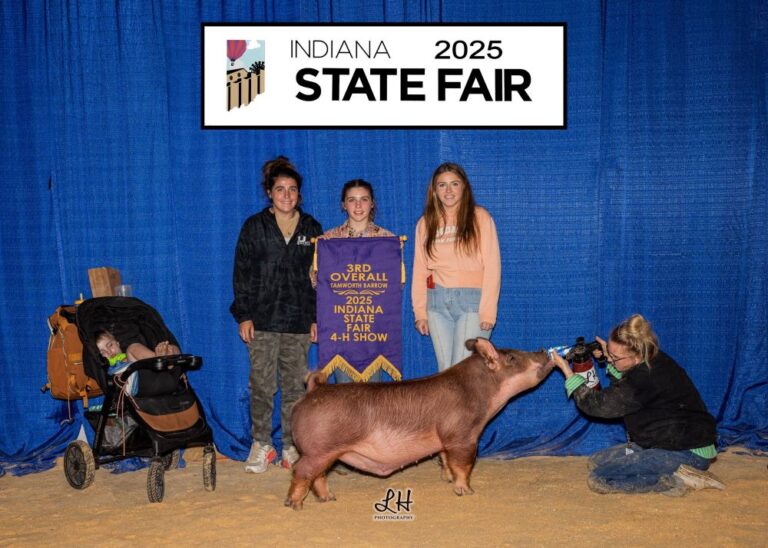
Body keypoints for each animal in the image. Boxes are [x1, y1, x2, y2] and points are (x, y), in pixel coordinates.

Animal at [284, 338, 553, 510]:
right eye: (512, 357)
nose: (543, 349)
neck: (480, 393)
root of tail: (313, 390)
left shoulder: (445, 441)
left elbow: (446, 460)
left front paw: (447, 479)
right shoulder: (462, 435)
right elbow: (464, 464)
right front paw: (466, 491)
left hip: (325, 453)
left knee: (318, 475)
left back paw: (329, 499)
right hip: (318, 450)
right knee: (301, 470)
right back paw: (295, 505)